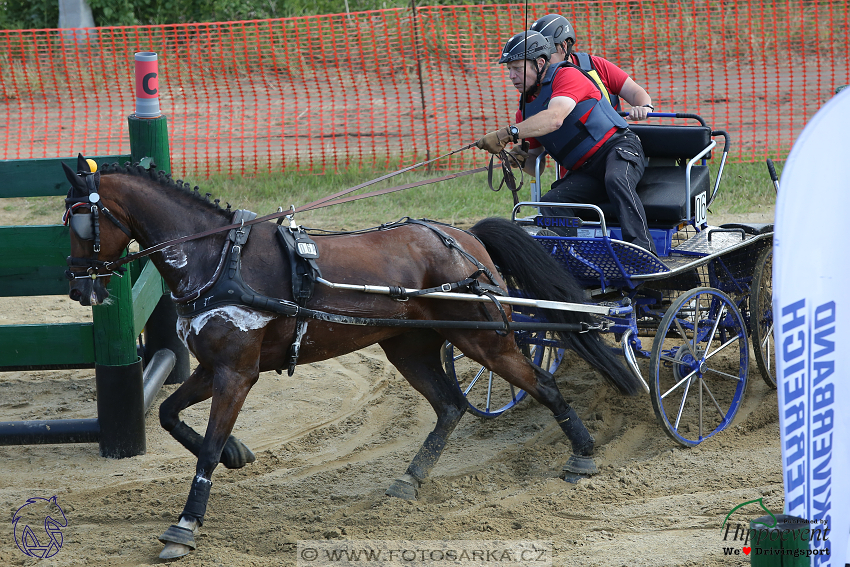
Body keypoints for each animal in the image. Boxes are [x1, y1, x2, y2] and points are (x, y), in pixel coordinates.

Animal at [61, 158, 636, 560]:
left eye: (82, 222)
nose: (77, 288)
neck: (218, 258)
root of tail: (464, 237)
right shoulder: (212, 369)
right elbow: (168, 414)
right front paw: (237, 454)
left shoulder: (237, 374)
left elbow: (204, 450)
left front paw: (185, 526)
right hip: (409, 347)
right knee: (450, 405)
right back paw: (412, 477)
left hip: (486, 339)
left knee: (542, 384)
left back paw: (583, 454)